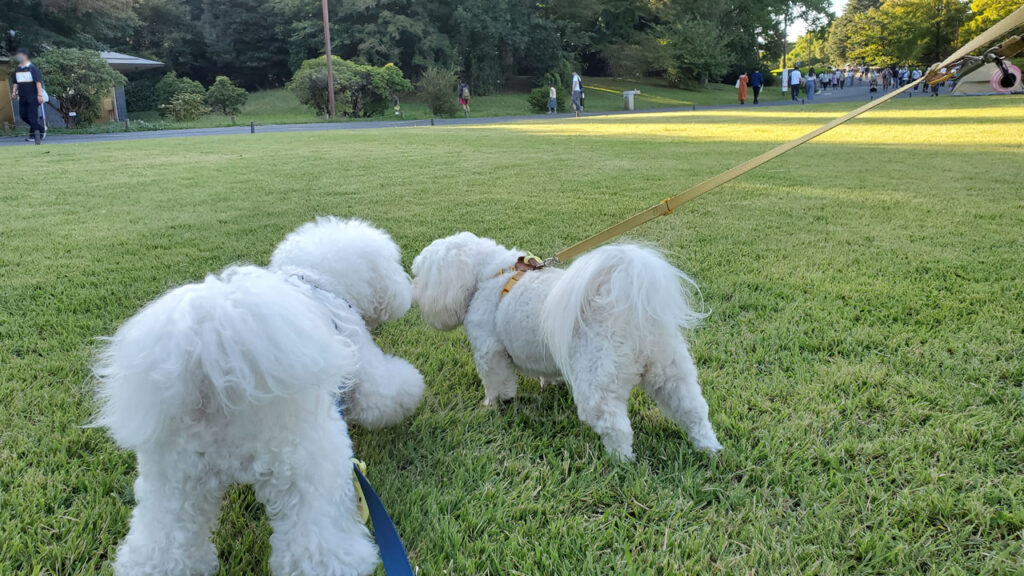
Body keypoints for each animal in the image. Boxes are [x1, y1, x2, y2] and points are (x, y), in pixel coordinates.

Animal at [96, 216, 423, 573]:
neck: (319, 282)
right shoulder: (363, 360)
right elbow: (387, 392)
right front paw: (412, 390)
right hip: (307, 465)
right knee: (315, 541)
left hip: (173, 480)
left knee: (162, 542)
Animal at [411, 230, 724, 459]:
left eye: (419, 275)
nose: (412, 292)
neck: (491, 275)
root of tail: (627, 309)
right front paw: (548, 386)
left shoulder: (490, 352)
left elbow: (497, 384)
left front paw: (492, 405)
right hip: (671, 371)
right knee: (694, 412)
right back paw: (710, 449)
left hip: (598, 381)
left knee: (615, 425)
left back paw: (621, 461)